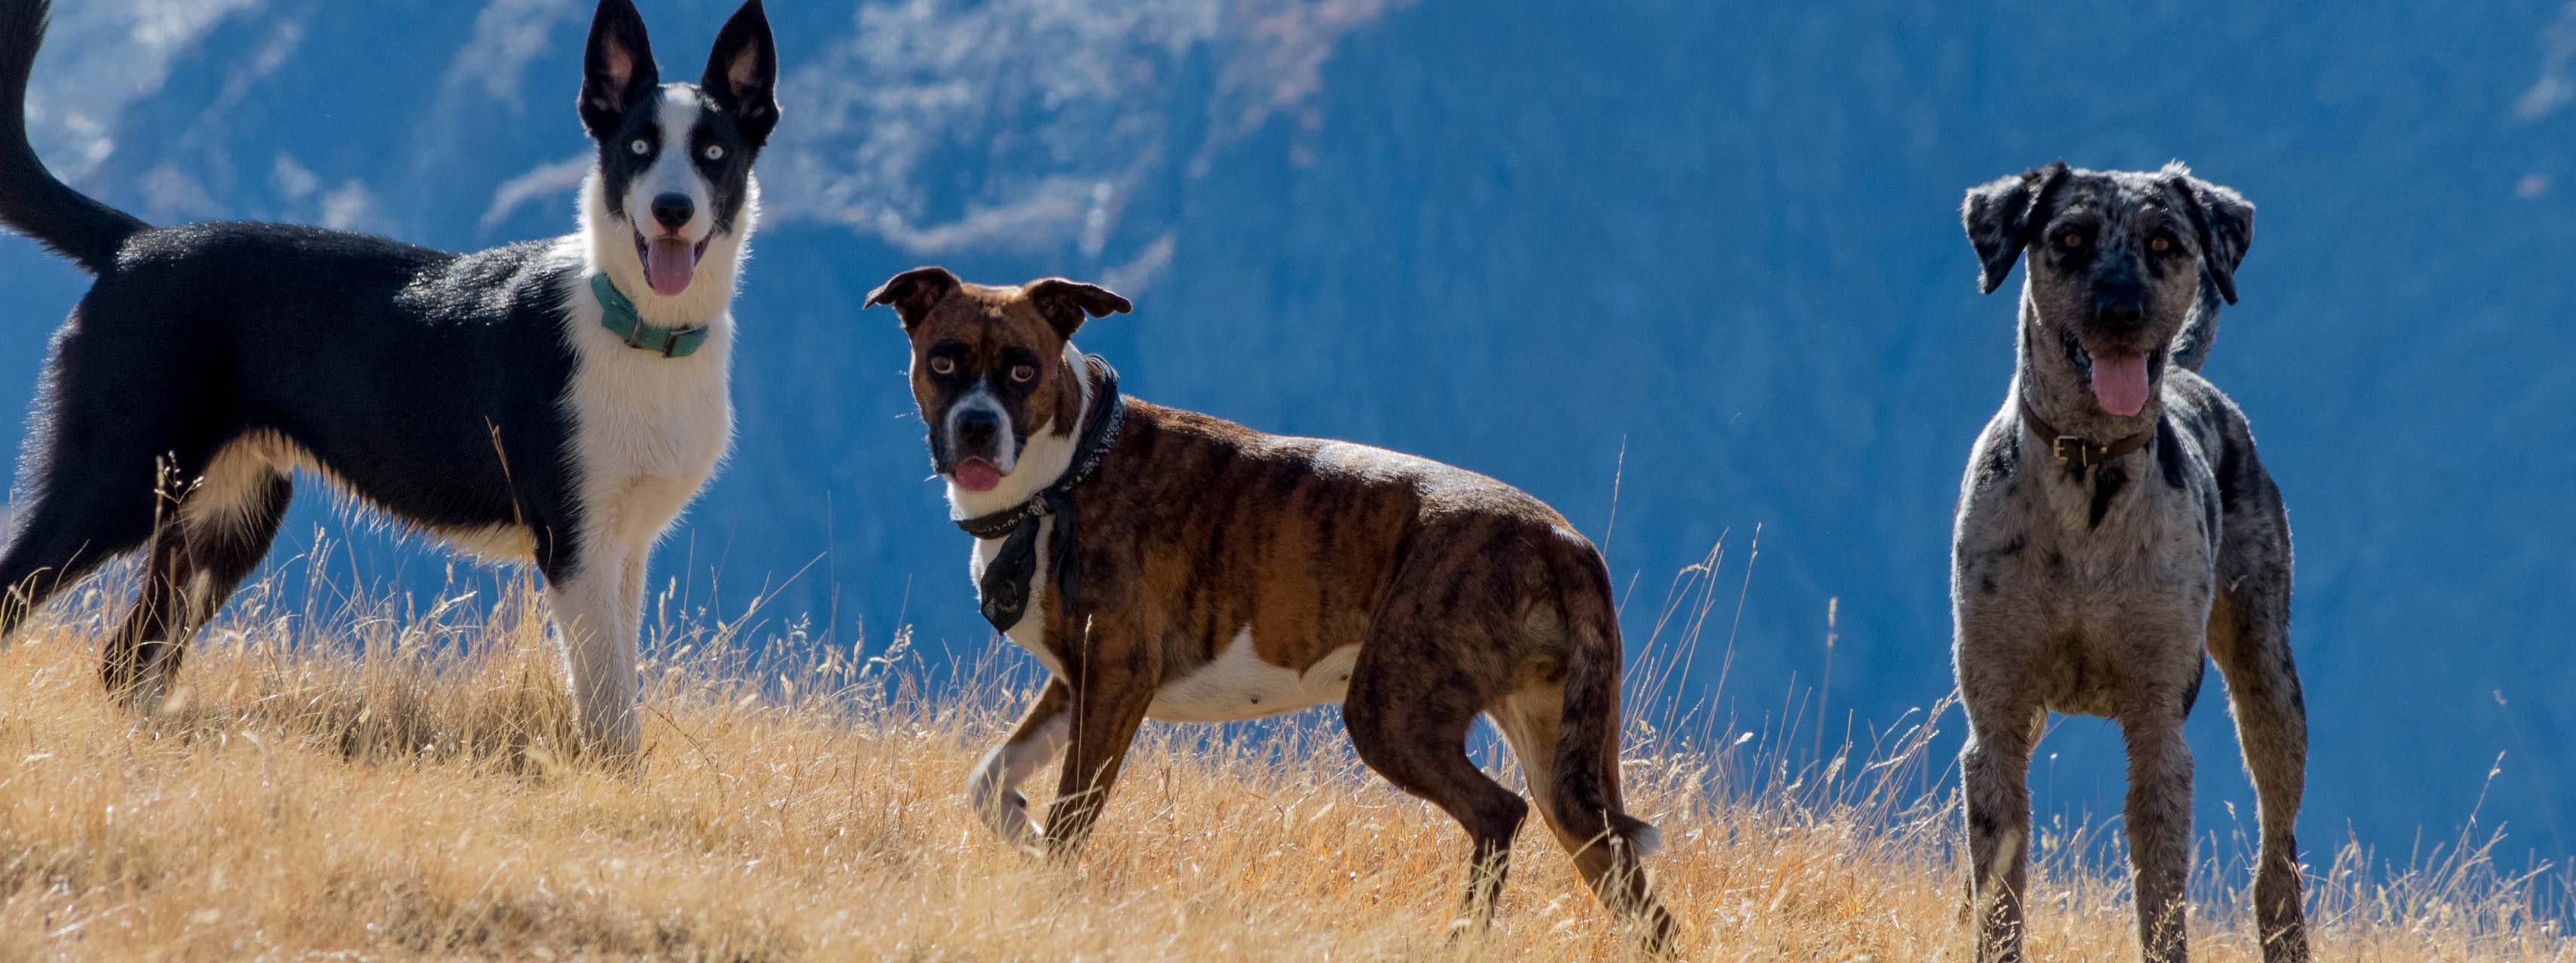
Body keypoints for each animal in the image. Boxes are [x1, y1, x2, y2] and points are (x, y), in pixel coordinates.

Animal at [0, 0, 773, 752]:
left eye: (714, 154)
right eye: (637, 149)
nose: (671, 210)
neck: (640, 329)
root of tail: (133, 244)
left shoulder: (625, 545)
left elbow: (620, 684)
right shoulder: (574, 545)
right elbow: (608, 704)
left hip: (224, 515)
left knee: (129, 659)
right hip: (114, 480)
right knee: (26, 594)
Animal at [865, 266, 1669, 952]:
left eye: (1022, 370)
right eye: (944, 362)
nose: (976, 425)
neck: (1063, 473)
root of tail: (1563, 542)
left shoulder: (1118, 678)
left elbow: (1071, 818)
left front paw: (1054, 883)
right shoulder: (1073, 682)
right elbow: (988, 783)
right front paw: (1024, 835)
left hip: (1390, 714)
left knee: (1499, 812)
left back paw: (1462, 938)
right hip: (1567, 772)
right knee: (1635, 894)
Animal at [1957, 161, 2308, 958]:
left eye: (2164, 242)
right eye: (2069, 237)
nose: (2122, 310)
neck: (2087, 473)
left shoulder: (2158, 723)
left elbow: (2161, 897)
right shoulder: (1996, 713)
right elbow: (2000, 889)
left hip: (2268, 673)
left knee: (2277, 852)